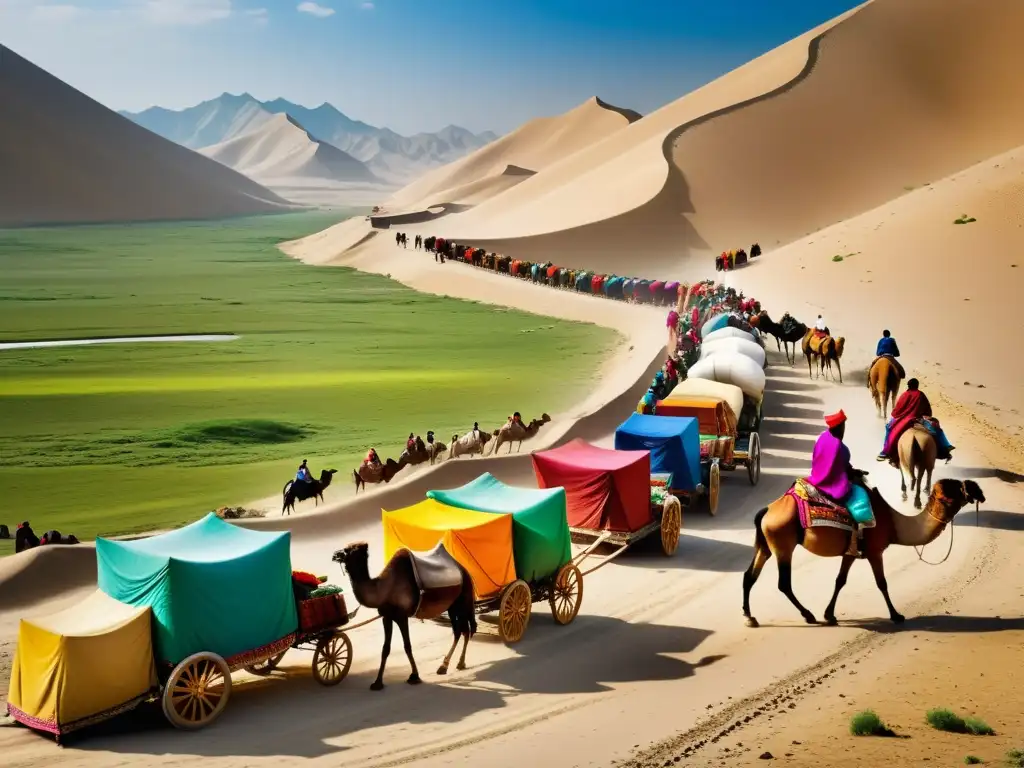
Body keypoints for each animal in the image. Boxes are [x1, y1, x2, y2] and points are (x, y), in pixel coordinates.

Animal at [335, 544, 479, 696]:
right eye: (345, 549)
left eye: (350, 551)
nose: (335, 555)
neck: (384, 589)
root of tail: (464, 570)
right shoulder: (387, 617)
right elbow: (385, 648)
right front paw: (378, 682)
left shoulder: (402, 616)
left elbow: (407, 646)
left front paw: (414, 676)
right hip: (452, 606)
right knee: (461, 630)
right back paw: (451, 665)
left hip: (463, 600)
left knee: (464, 629)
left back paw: (451, 665)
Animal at [741, 475, 987, 630]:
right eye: (956, 489)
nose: (979, 490)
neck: (893, 523)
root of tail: (767, 510)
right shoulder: (875, 551)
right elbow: (882, 583)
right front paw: (896, 615)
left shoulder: (850, 553)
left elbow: (840, 580)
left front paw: (830, 614)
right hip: (784, 543)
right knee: (783, 583)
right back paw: (808, 615)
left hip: (766, 544)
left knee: (749, 576)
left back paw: (750, 617)